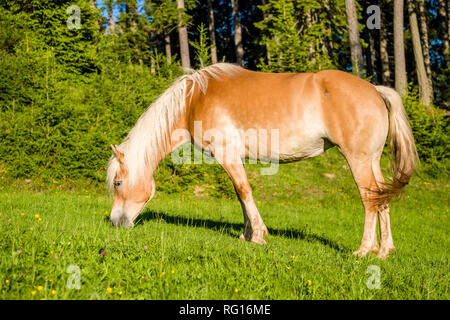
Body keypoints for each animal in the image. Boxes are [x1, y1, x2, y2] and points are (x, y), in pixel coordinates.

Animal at [106, 62, 418, 258]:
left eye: (118, 183)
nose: (115, 223)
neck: (195, 99)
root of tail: (375, 89)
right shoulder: (233, 159)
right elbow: (240, 195)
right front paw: (246, 234)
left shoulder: (227, 155)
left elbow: (244, 191)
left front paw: (258, 235)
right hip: (373, 162)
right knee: (382, 198)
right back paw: (384, 251)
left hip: (358, 160)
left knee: (369, 199)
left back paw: (364, 250)